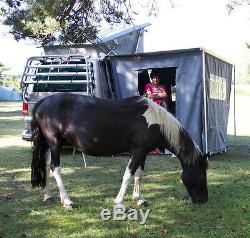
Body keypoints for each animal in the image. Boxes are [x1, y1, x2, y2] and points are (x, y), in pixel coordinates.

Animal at [30, 92, 208, 208]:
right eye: (201, 174)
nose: (203, 200)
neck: (155, 122)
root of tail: (42, 102)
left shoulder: (142, 152)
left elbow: (138, 174)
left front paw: (139, 199)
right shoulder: (137, 151)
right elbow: (128, 175)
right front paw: (118, 201)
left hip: (49, 145)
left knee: (46, 166)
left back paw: (48, 196)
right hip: (54, 143)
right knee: (55, 168)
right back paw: (67, 201)